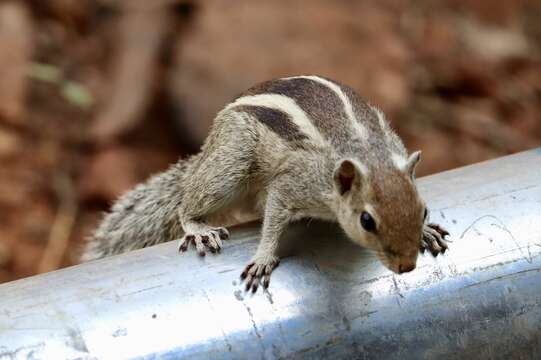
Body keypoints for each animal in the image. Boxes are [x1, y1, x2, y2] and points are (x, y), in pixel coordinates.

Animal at [82, 76, 450, 292]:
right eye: (367, 221)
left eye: (423, 209)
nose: (406, 266)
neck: (369, 155)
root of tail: (207, 148)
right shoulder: (294, 183)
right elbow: (274, 217)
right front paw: (262, 258)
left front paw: (426, 231)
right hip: (230, 163)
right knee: (188, 202)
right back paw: (198, 227)